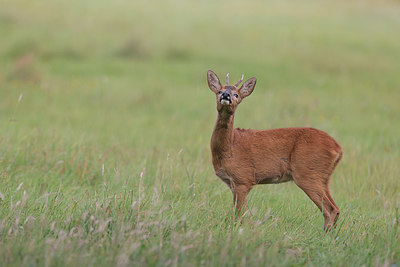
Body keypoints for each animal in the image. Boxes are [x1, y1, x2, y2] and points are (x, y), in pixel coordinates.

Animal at [208, 70, 342, 231]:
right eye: (219, 91)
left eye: (236, 94)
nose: (226, 95)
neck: (228, 149)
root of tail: (338, 148)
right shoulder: (234, 183)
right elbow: (244, 213)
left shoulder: (243, 178)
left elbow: (238, 214)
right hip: (324, 178)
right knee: (335, 209)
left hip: (308, 174)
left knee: (330, 209)